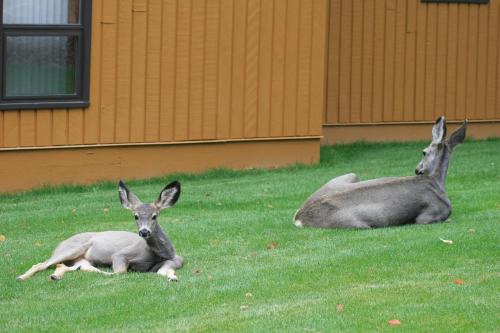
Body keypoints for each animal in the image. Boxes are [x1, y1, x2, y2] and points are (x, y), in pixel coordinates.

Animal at [15, 180, 185, 282]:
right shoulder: (120, 254)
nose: (144, 232)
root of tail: (60, 243)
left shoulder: (178, 259)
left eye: (154, 216)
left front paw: (173, 278)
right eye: (135, 216)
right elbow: (120, 272)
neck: (159, 254)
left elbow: (163, 271)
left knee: (63, 266)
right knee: (41, 264)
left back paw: (55, 276)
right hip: (71, 249)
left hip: (79, 258)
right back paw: (21, 277)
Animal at [292, 116, 468, 228]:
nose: (417, 169)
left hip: (351, 175)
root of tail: (298, 217)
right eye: (423, 151)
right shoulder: (429, 215)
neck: (436, 181)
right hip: (358, 224)